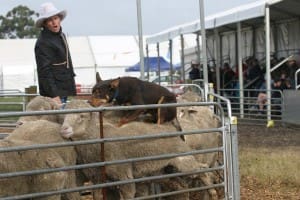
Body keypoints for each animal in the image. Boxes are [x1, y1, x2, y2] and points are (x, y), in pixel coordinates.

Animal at [59, 100, 218, 200]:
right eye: (64, 116)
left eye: (81, 116)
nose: (64, 129)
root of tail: (172, 128)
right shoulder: (99, 179)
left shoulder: (124, 176)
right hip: (167, 171)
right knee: (187, 181)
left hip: (184, 161)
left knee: (204, 170)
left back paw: (213, 191)